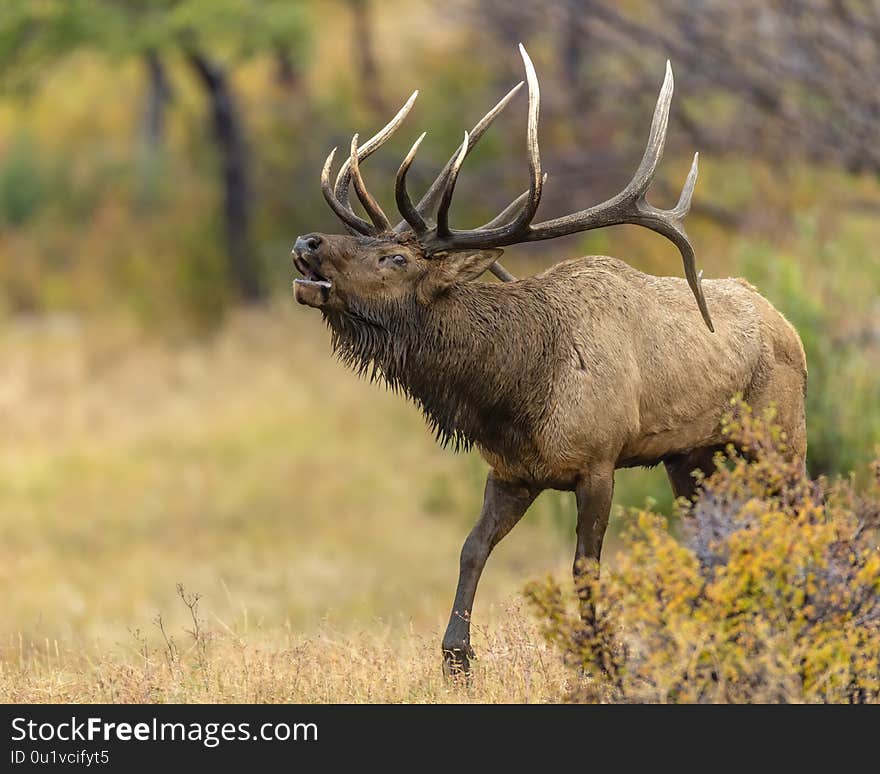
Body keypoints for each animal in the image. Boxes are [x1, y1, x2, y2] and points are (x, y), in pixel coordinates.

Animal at [292, 47, 808, 672]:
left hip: (782, 438)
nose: (308, 242)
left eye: (396, 258)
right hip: (692, 456)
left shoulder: (599, 460)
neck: (515, 394)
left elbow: (585, 567)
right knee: (714, 537)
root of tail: (788, 325)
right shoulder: (511, 471)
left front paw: (602, 657)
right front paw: (456, 658)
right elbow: (471, 548)